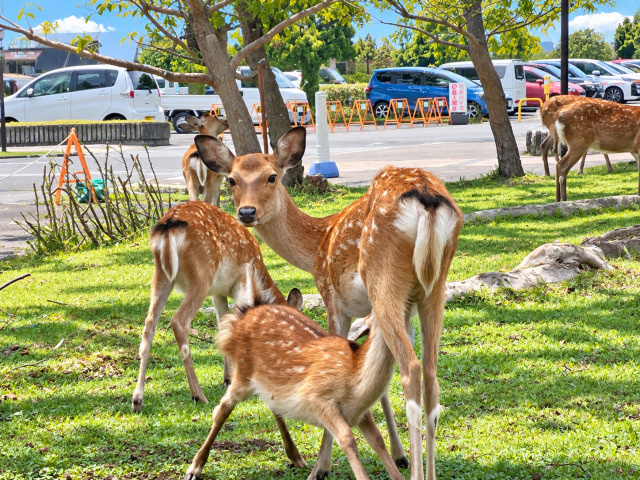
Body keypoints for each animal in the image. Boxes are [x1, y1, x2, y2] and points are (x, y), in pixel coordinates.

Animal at [184, 264, 406, 480]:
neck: (356, 380)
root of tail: (250, 309)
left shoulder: (361, 412)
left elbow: (378, 440)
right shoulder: (319, 398)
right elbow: (347, 439)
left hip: (268, 381)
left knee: (271, 405)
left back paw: (297, 458)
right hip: (243, 373)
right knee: (222, 408)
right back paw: (193, 469)